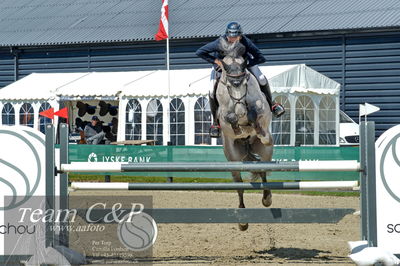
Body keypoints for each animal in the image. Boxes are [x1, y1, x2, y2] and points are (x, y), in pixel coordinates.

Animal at [214, 39, 274, 231]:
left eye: (245, 83)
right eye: (228, 85)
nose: (241, 111)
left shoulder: (262, 109)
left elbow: (257, 111)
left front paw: (256, 126)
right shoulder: (224, 116)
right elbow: (230, 118)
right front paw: (239, 125)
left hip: (265, 152)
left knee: (263, 169)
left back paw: (267, 199)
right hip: (233, 158)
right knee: (239, 185)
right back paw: (242, 220)